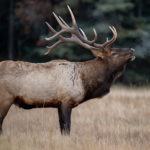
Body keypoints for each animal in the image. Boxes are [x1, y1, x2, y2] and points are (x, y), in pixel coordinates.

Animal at [0, 5, 135, 135]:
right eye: (114, 53)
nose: (132, 50)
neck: (85, 82)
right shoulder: (66, 100)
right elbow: (66, 129)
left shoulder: (59, 104)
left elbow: (62, 129)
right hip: (5, 98)